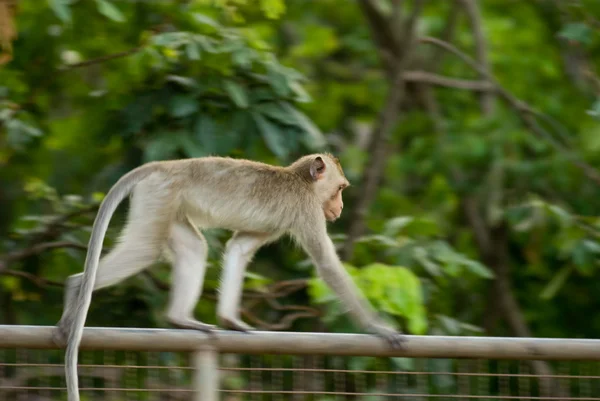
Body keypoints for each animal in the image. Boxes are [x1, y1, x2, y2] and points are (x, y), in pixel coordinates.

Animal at [54, 152, 406, 400]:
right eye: (340, 188)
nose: (341, 207)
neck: (300, 180)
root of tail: (162, 167)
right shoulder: (306, 210)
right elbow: (326, 264)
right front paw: (380, 328)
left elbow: (238, 248)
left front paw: (230, 320)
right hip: (159, 197)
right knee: (144, 248)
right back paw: (76, 286)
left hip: (168, 205)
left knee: (194, 247)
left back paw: (181, 319)